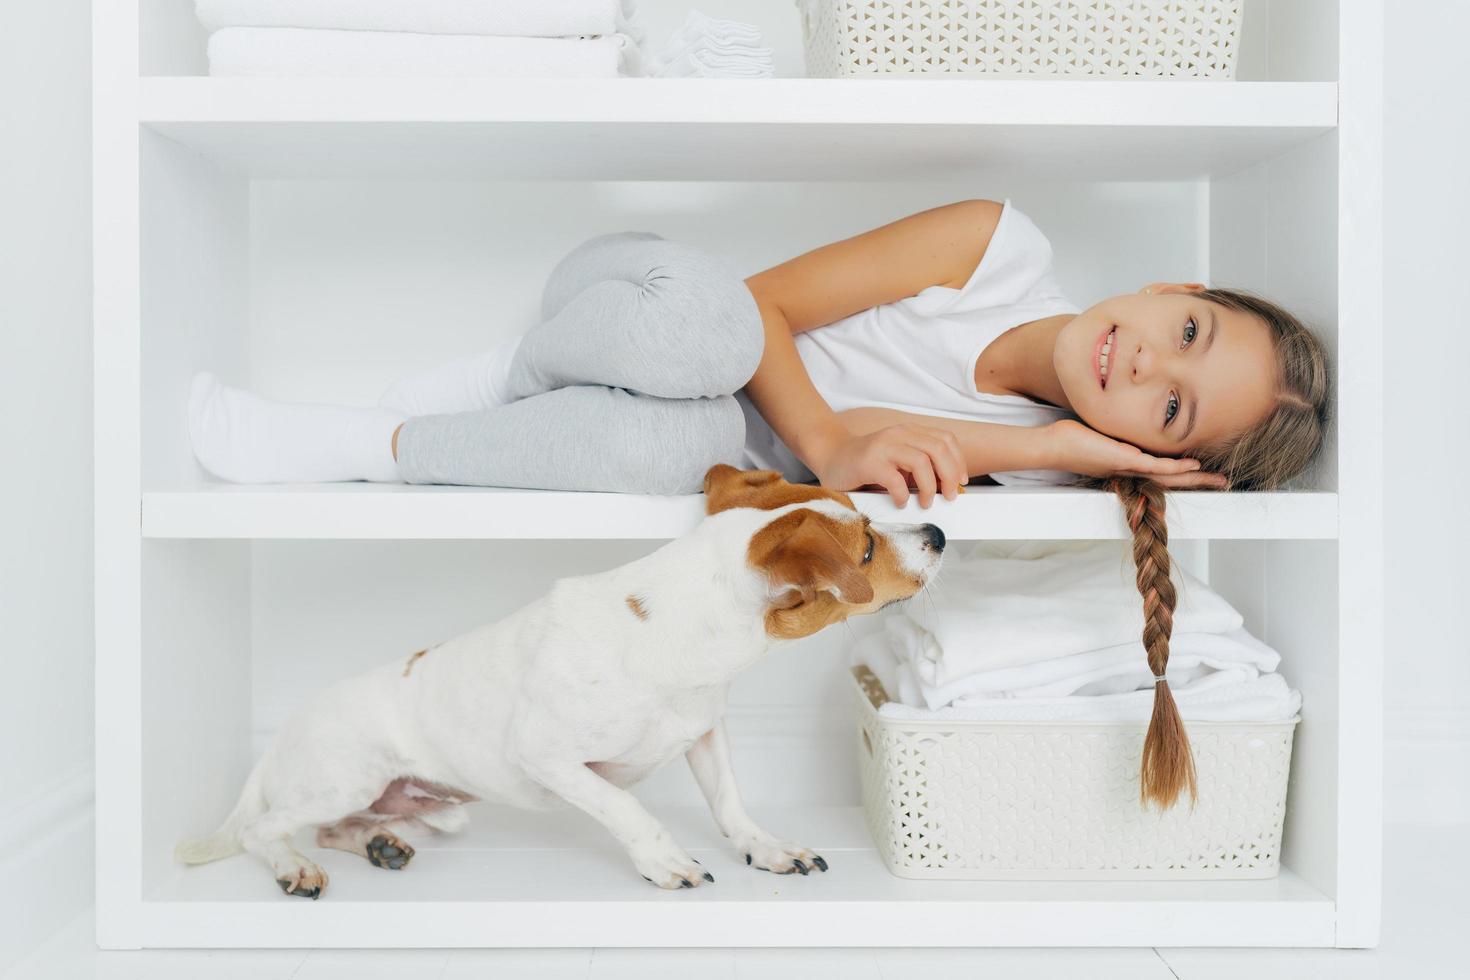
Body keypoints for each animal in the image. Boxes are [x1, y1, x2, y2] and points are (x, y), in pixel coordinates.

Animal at [177, 467, 946, 899]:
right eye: (867, 547)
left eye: (870, 518)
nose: (938, 532)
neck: (677, 638)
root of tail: (286, 730)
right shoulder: (547, 758)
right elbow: (627, 809)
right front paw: (665, 860)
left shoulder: (705, 734)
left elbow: (731, 804)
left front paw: (768, 849)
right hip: (344, 778)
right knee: (269, 829)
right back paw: (292, 866)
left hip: (411, 803)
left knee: (347, 826)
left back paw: (382, 844)